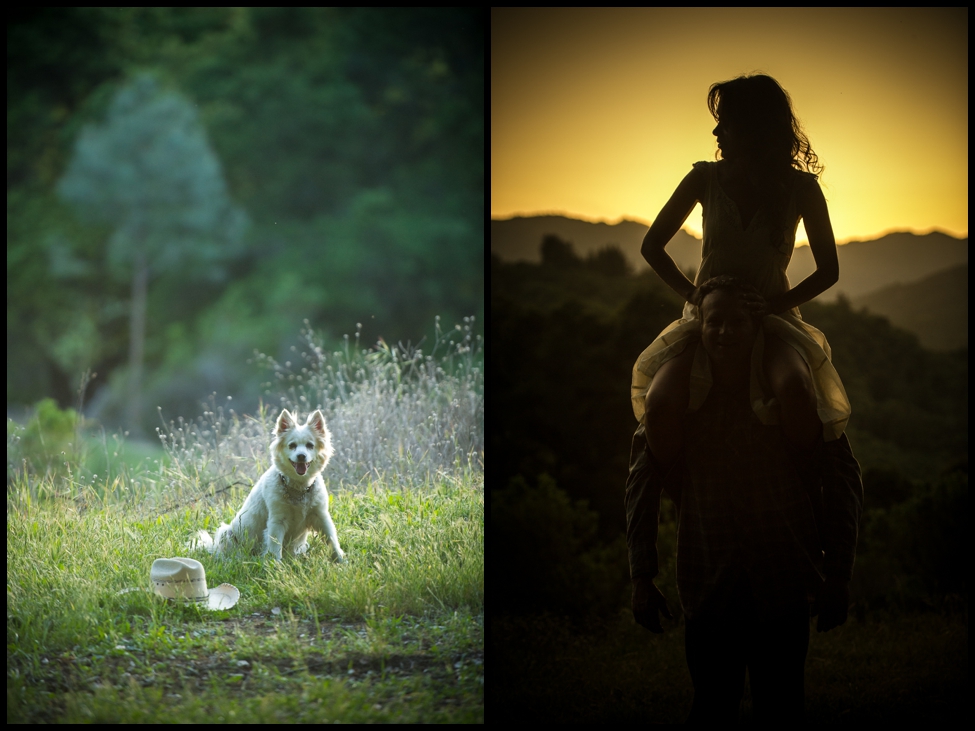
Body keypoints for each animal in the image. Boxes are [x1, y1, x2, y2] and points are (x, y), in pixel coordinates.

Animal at [193, 408, 346, 564]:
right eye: (292, 445)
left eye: (310, 445)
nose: (301, 456)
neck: (298, 489)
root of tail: (213, 548)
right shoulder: (277, 521)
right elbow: (275, 547)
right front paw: (276, 565)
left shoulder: (321, 516)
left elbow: (332, 541)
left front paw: (341, 561)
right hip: (226, 533)